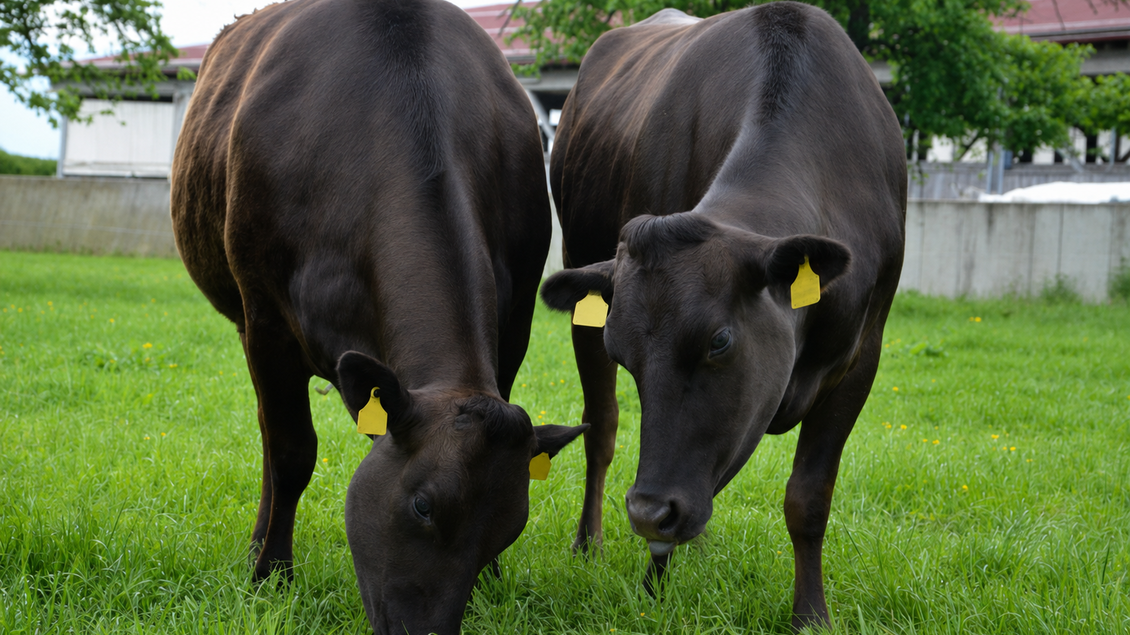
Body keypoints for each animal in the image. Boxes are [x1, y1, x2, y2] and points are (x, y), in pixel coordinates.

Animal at [169, 0, 586, 633]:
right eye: (423, 505)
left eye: (508, 530)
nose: (429, 631)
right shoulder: (266, 319)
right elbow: (291, 451)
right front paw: (271, 577)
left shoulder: (514, 324)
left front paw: (492, 585)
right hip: (245, 318)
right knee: (271, 433)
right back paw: (260, 546)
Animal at [539, 2, 906, 629]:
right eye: (623, 354)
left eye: (719, 341)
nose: (646, 510)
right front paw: (653, 592)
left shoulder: (862, 354)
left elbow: (809, 496)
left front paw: (811, 616)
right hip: (576, 265)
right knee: (602, 428)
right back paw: (589, 543)